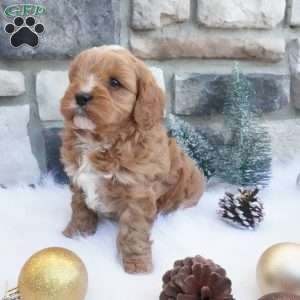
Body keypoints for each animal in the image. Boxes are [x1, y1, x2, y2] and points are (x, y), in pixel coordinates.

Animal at [61, 45, 206, 274]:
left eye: (114, 82)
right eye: (75, 77)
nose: (81, 96)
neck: (100, 140)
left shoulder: (138, 193)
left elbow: (133, 230)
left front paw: (137, 264)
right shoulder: (77, 179)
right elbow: (79, 207)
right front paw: (77, 233)